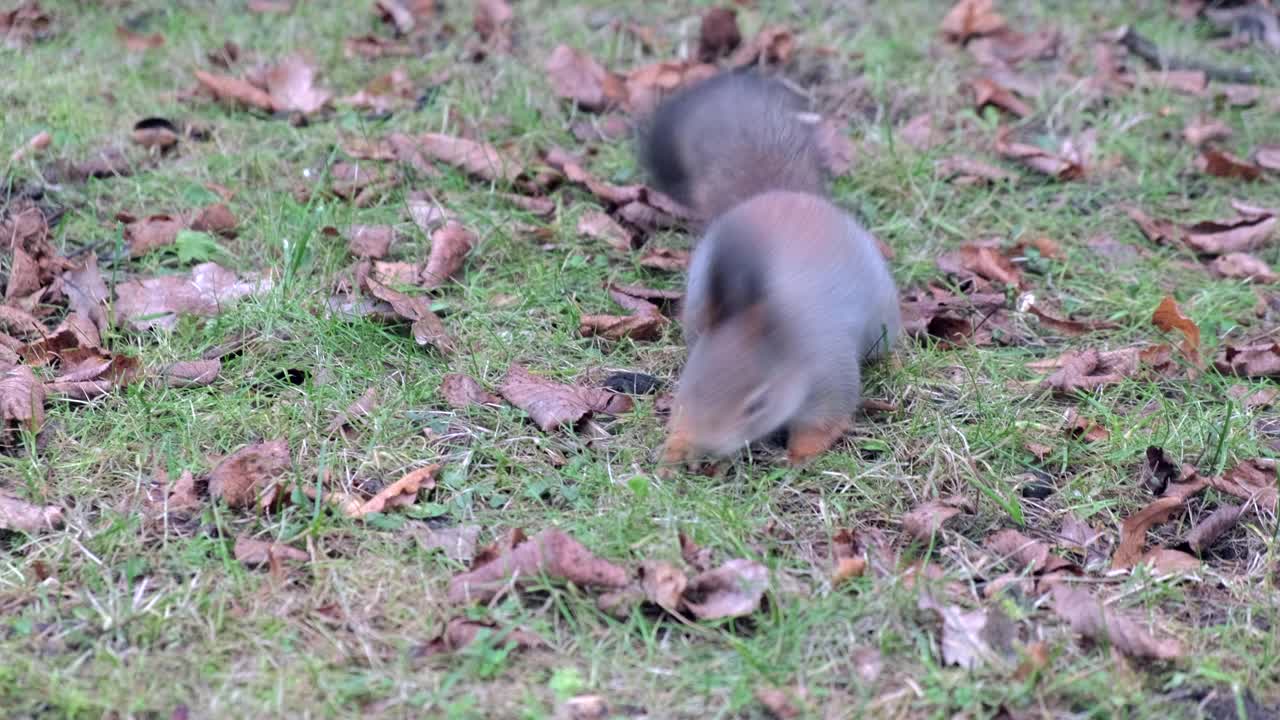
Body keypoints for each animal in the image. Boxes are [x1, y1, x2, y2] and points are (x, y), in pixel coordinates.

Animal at [637, 71, 901, 466]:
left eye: (757, 405)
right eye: (688, 385)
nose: (709, 444)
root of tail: (780, 194)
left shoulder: (831, 377)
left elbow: (826, 421)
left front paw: (798, 456)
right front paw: (677, 447)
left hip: (882, 311)